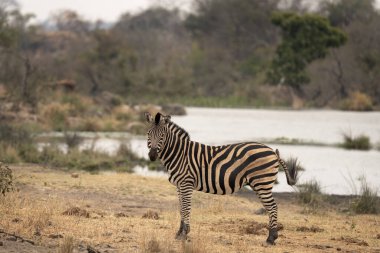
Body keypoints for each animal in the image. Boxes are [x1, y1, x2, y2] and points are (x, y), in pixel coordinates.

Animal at [144, 111, 298, 244]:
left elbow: (186, 209)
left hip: (262, 183)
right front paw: (179, 233)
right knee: (270, 207)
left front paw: (184, 235)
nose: (152, 156)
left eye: (162, 136)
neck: (180, 154)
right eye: (148, 134)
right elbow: (181, 208)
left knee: (272, 207)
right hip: (261, 183)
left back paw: (271, 238)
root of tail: (272, 151)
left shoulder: (186, 183)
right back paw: (272, 237)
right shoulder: (179, 185)